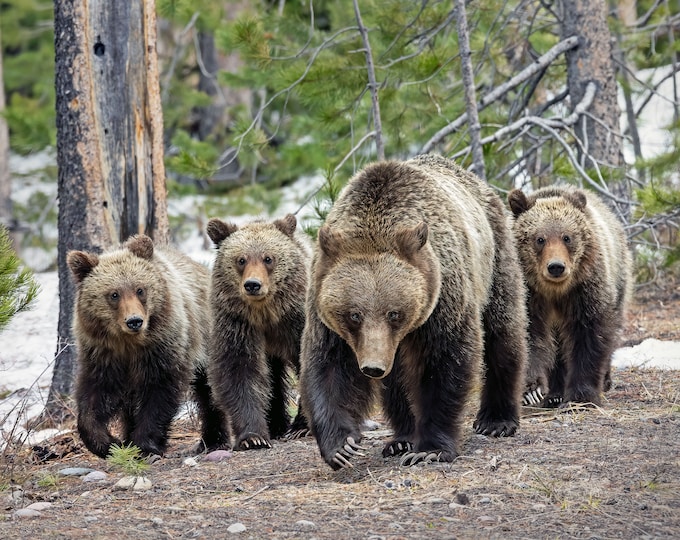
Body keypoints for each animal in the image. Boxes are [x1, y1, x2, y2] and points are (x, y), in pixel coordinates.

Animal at [68, 234, 228, 459]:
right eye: (114, 294)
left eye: (140, 289)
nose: (134, 321)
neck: (130, 343)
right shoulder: (103, 354)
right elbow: (94, 397)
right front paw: (109, 442)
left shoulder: (162, 347)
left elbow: (158, 391)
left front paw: (145, 445)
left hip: (206, 335)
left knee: (209, 390)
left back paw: (214, 439)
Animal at [206, 213, 310, 451]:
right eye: (241, 260)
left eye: (268, 258)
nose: (252, 284)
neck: (266, 314)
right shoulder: (238, 324)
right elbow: (239, 371)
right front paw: (253, 437)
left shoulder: (297, 321)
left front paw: (302, 426)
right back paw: (277, 425)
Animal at [298, 154, 529, 470]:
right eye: (354, 314)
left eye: (394, 313)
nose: (372, 367)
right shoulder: (324, 308)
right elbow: (328, 366)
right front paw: (341, 446)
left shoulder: (442, 296)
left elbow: (443, 363)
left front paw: (430, 448)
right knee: (396, 380)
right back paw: (401, 438)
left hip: (494, 259)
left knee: (502, 333)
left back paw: (497, 420)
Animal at [507, 186, 633, 407]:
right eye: (539, 239)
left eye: (567, 237)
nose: (556, 266)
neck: (555, 291)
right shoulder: (530, 294)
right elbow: (530, 335)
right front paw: (531, 390)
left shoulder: (584, 290)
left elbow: (589, 335)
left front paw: (581, 396)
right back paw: (555, 394)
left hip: (619, 277)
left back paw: (605, 380)